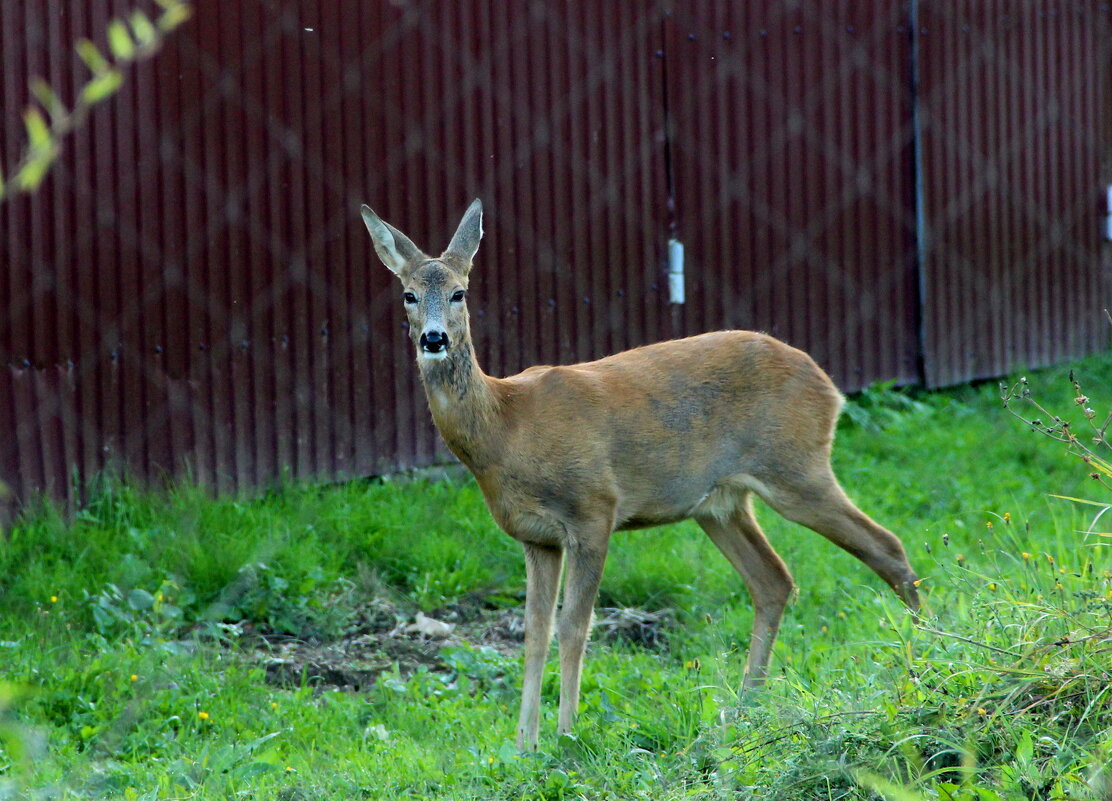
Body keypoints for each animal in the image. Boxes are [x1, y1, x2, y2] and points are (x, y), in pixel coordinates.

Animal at [360, 199, 916, 752]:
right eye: (409, 295)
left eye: (460, 292)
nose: (434, 339)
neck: (507, 429)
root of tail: (828, 384)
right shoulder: (535, 538)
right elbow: (534, 633)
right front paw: (523, 745)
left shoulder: (593, 510)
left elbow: (575, 626)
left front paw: (566, 734)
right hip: (721, 503)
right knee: (774, 580)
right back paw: (743, 710)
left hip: (795, 466)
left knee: (886, 546)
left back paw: (919, 662)